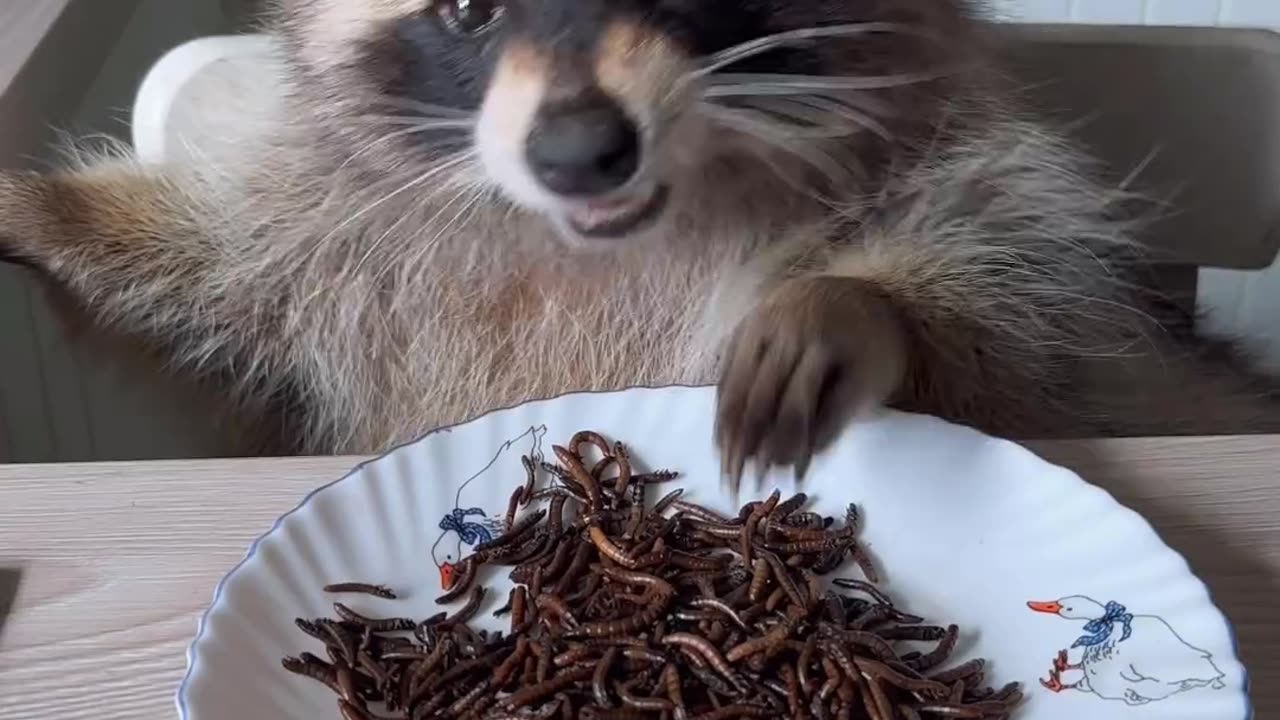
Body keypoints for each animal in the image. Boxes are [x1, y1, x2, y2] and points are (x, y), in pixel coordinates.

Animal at [2, 0, 1280, 471]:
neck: (595, 238)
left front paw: (855, 307)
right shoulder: (344, 234)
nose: (578, 150)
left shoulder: (975, 180)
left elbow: (1014, 313)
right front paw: (51, 206)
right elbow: (226, 263)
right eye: (468, 9)